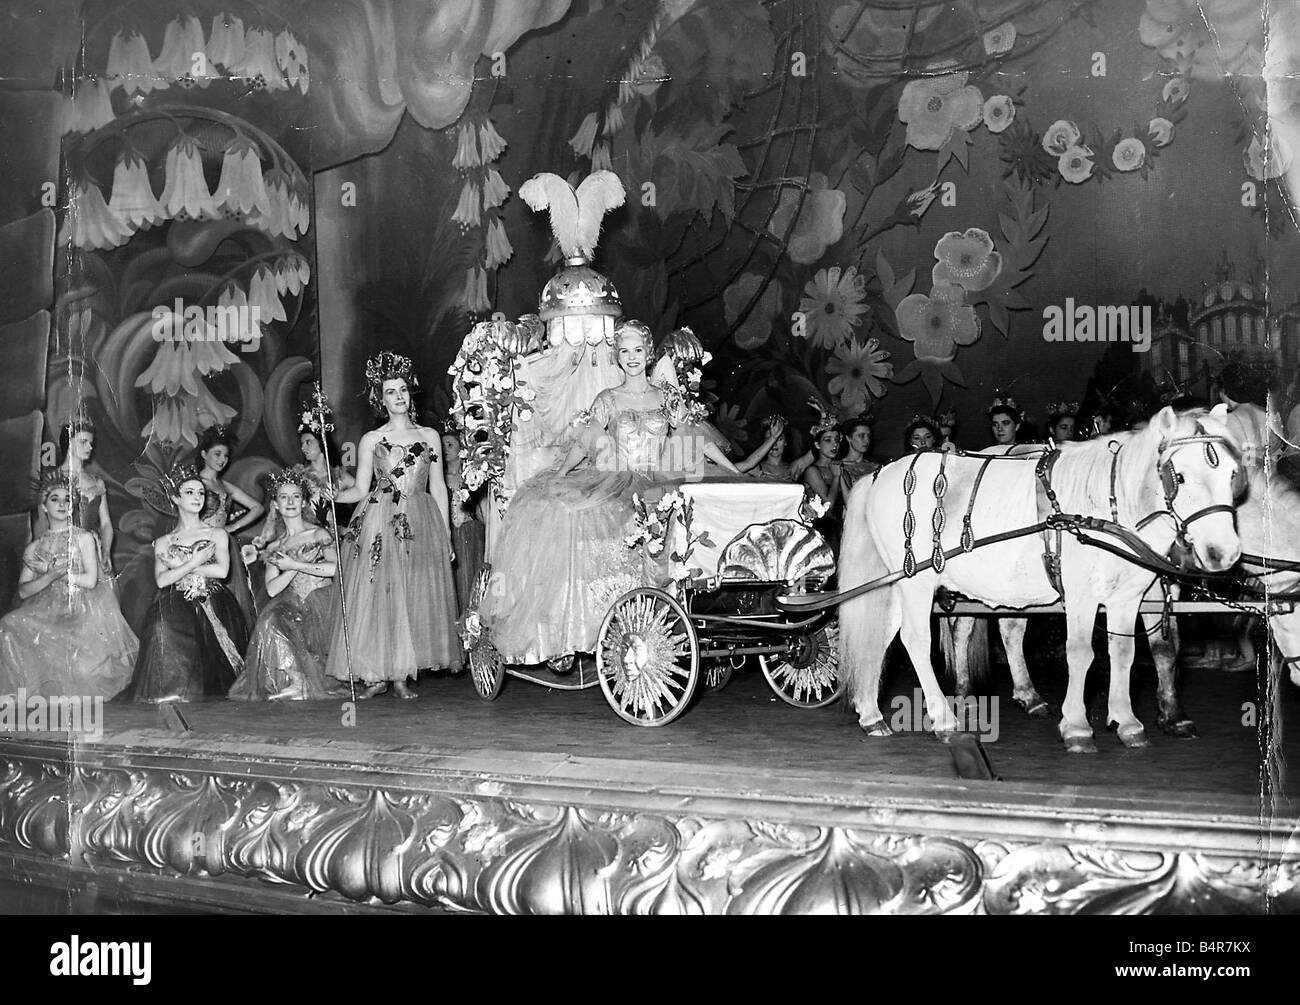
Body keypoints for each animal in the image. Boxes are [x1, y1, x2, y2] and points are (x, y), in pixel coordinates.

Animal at [837, 403, 1242, 748]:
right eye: (1180, 477)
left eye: (1232, 474)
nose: (1223, 552)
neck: (1107, 509)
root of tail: (878, 475)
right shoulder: (1082, 593)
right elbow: (1080, 652)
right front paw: (1077, 727)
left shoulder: (1128, 596)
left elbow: (1125, 652)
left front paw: (1128, 722)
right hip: (915, 581)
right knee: (916, 639)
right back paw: (945, 719)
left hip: (896, 582)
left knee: (882, 633)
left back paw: (872, 714)